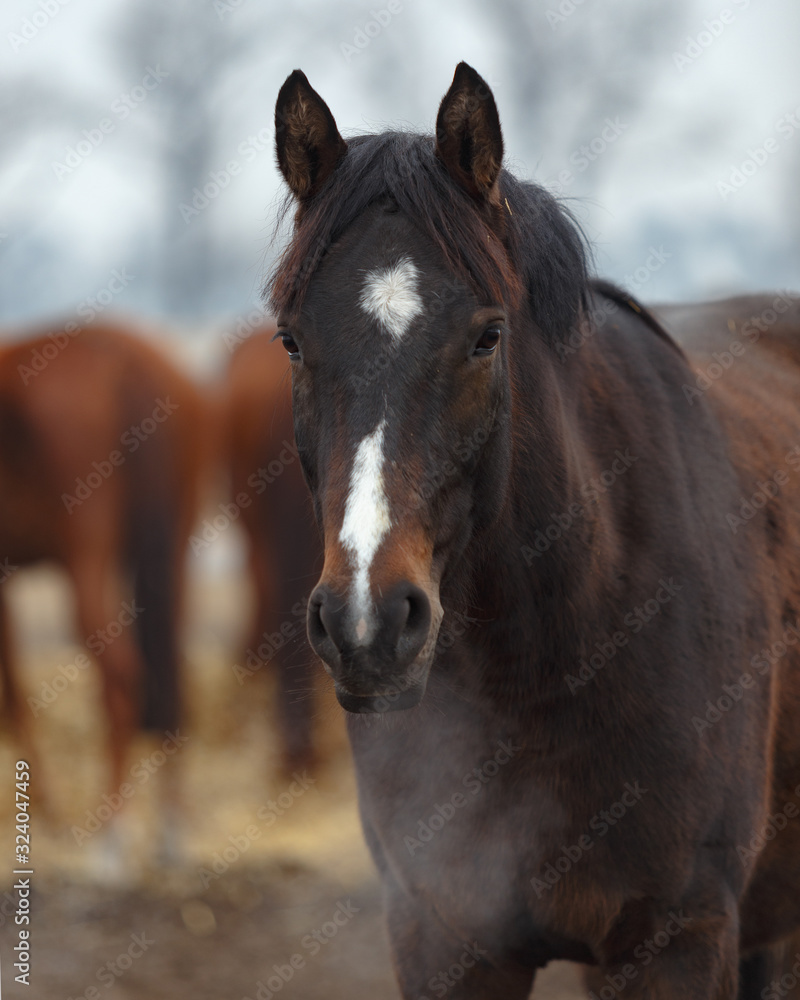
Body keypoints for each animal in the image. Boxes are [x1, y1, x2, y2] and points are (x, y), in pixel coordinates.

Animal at [0, 319, 204, 841]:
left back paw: (111, 831)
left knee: (122, 674)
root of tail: (124, 358)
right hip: (171, 556)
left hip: (86, 561)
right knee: (170, 675)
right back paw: (170, 826)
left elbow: (12, 691)